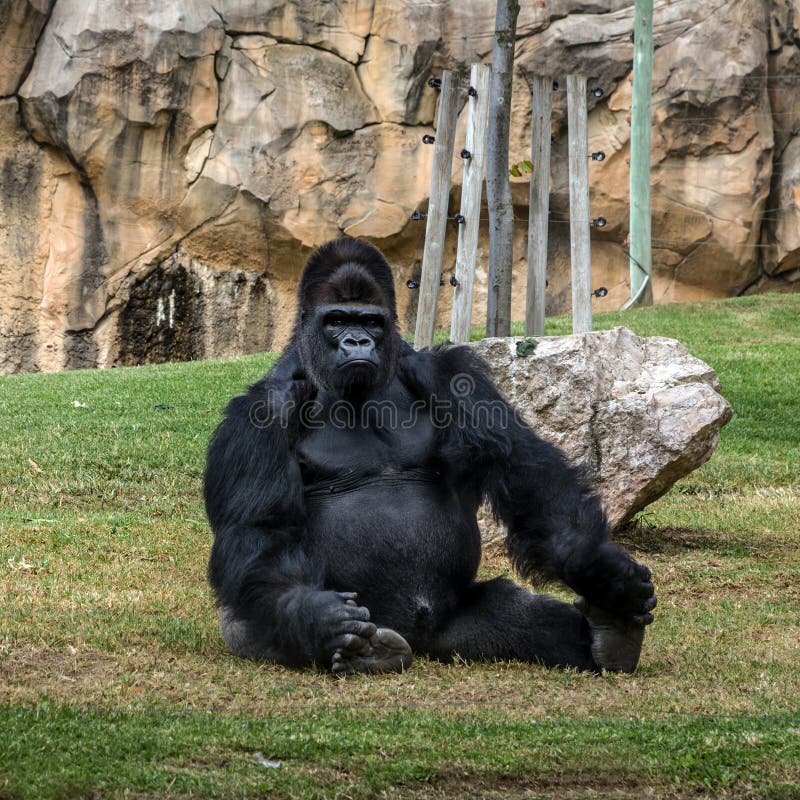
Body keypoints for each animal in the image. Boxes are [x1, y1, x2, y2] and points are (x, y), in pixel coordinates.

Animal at [205, 238, 656, 676]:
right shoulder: (260, 412)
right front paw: (316, 616)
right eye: (336, 321)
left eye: (371, 322)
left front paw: (599, 571)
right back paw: (350, 646)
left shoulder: (450, 374)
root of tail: (420, 643)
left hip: (455, 628)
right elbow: (262, 528)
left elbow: (519, 467)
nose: (357, 342)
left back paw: (611, 634)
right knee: (246, 617)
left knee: (516, 615)